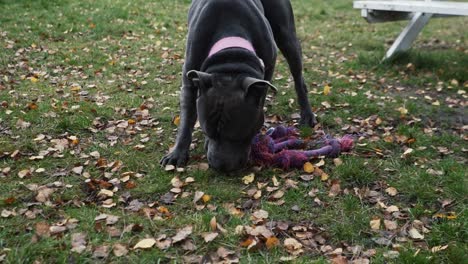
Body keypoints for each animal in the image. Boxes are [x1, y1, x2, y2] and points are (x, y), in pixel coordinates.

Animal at [161, 0, 318, 172]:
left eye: (240, 134)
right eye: (207, 131)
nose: (220, 167)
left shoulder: (268, 67)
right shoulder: (190, 77)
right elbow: (187, 117)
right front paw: (178, 153)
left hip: (287, 36)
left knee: (298, 78)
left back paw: (307, 115)